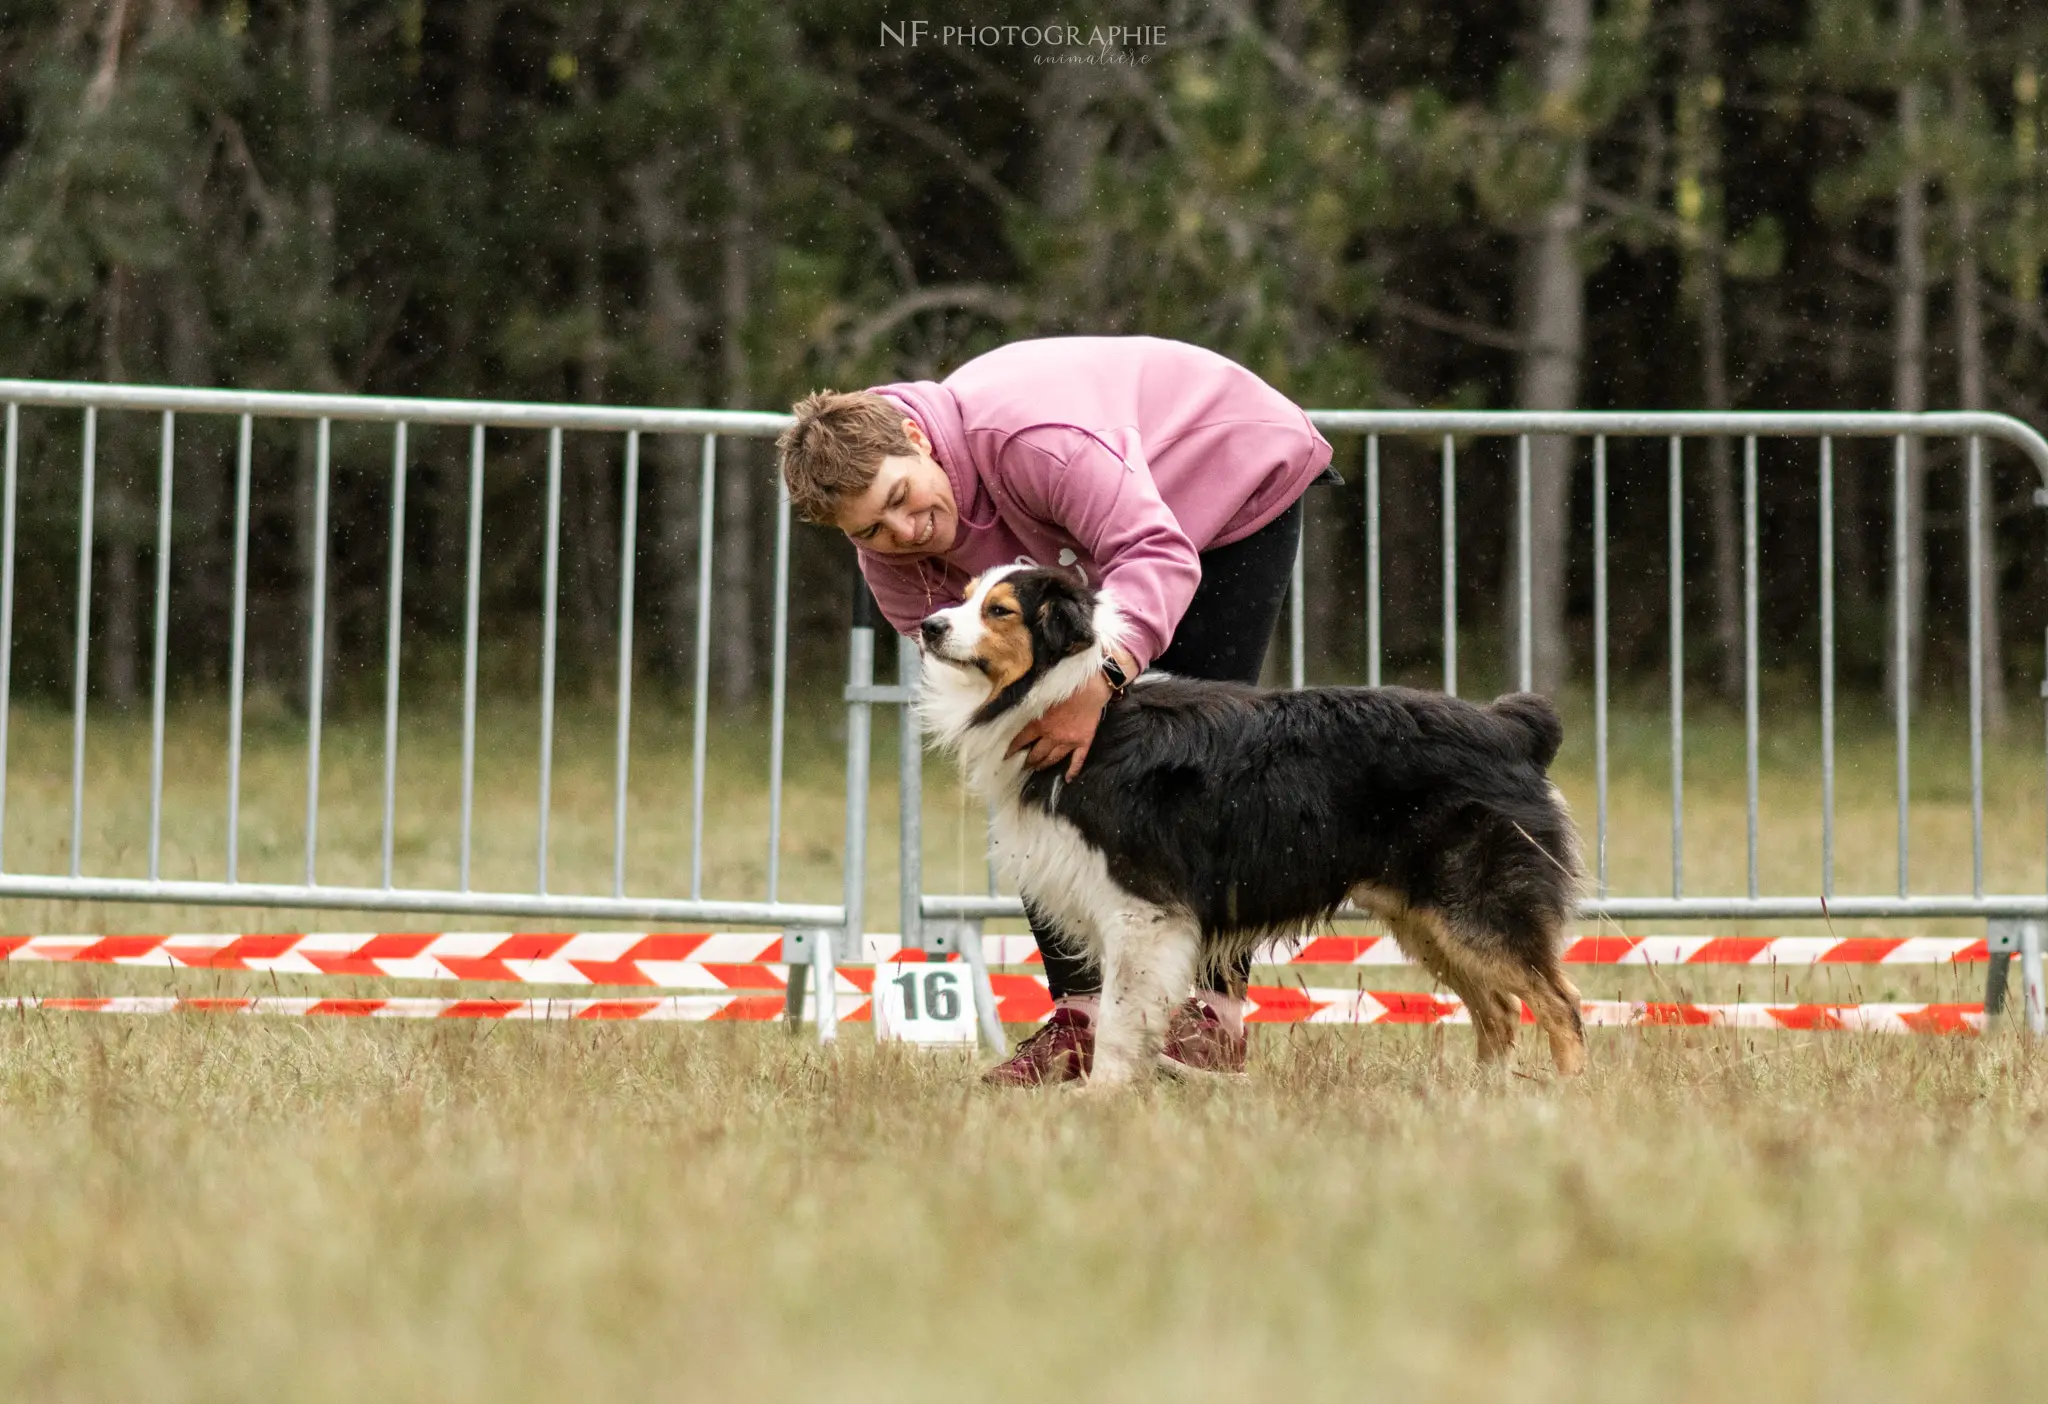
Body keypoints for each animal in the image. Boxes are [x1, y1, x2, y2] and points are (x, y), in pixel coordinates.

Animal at [921, 564, 1589, 1088]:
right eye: (964, 594)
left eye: (1000, 610)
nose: (928, 626)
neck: (1067, 697)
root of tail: (1513, 727)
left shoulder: (1144, 910)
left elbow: (1118, 1015)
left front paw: (1101, 1097)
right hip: (1427, 918)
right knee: (1500, 1010)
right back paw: (1484, 1101)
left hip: (1476, 906)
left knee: (1562, 1004)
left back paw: (1563, 1102)